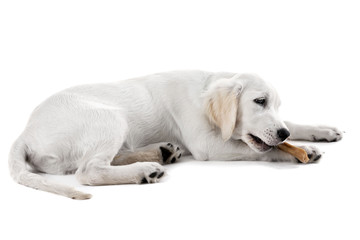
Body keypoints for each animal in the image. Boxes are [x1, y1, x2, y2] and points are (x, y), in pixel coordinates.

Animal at [7, 71, 342, 199]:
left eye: (275, 105)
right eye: (259, 101)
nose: (283, 132)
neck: (204, 91)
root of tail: (24, 132)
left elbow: (291, 126)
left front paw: (320, 131)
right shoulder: (208, 145)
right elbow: (267, 149)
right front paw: (300, 152)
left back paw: (161, 152)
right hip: (109, 118)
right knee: (89, 171)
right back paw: (145, 169)